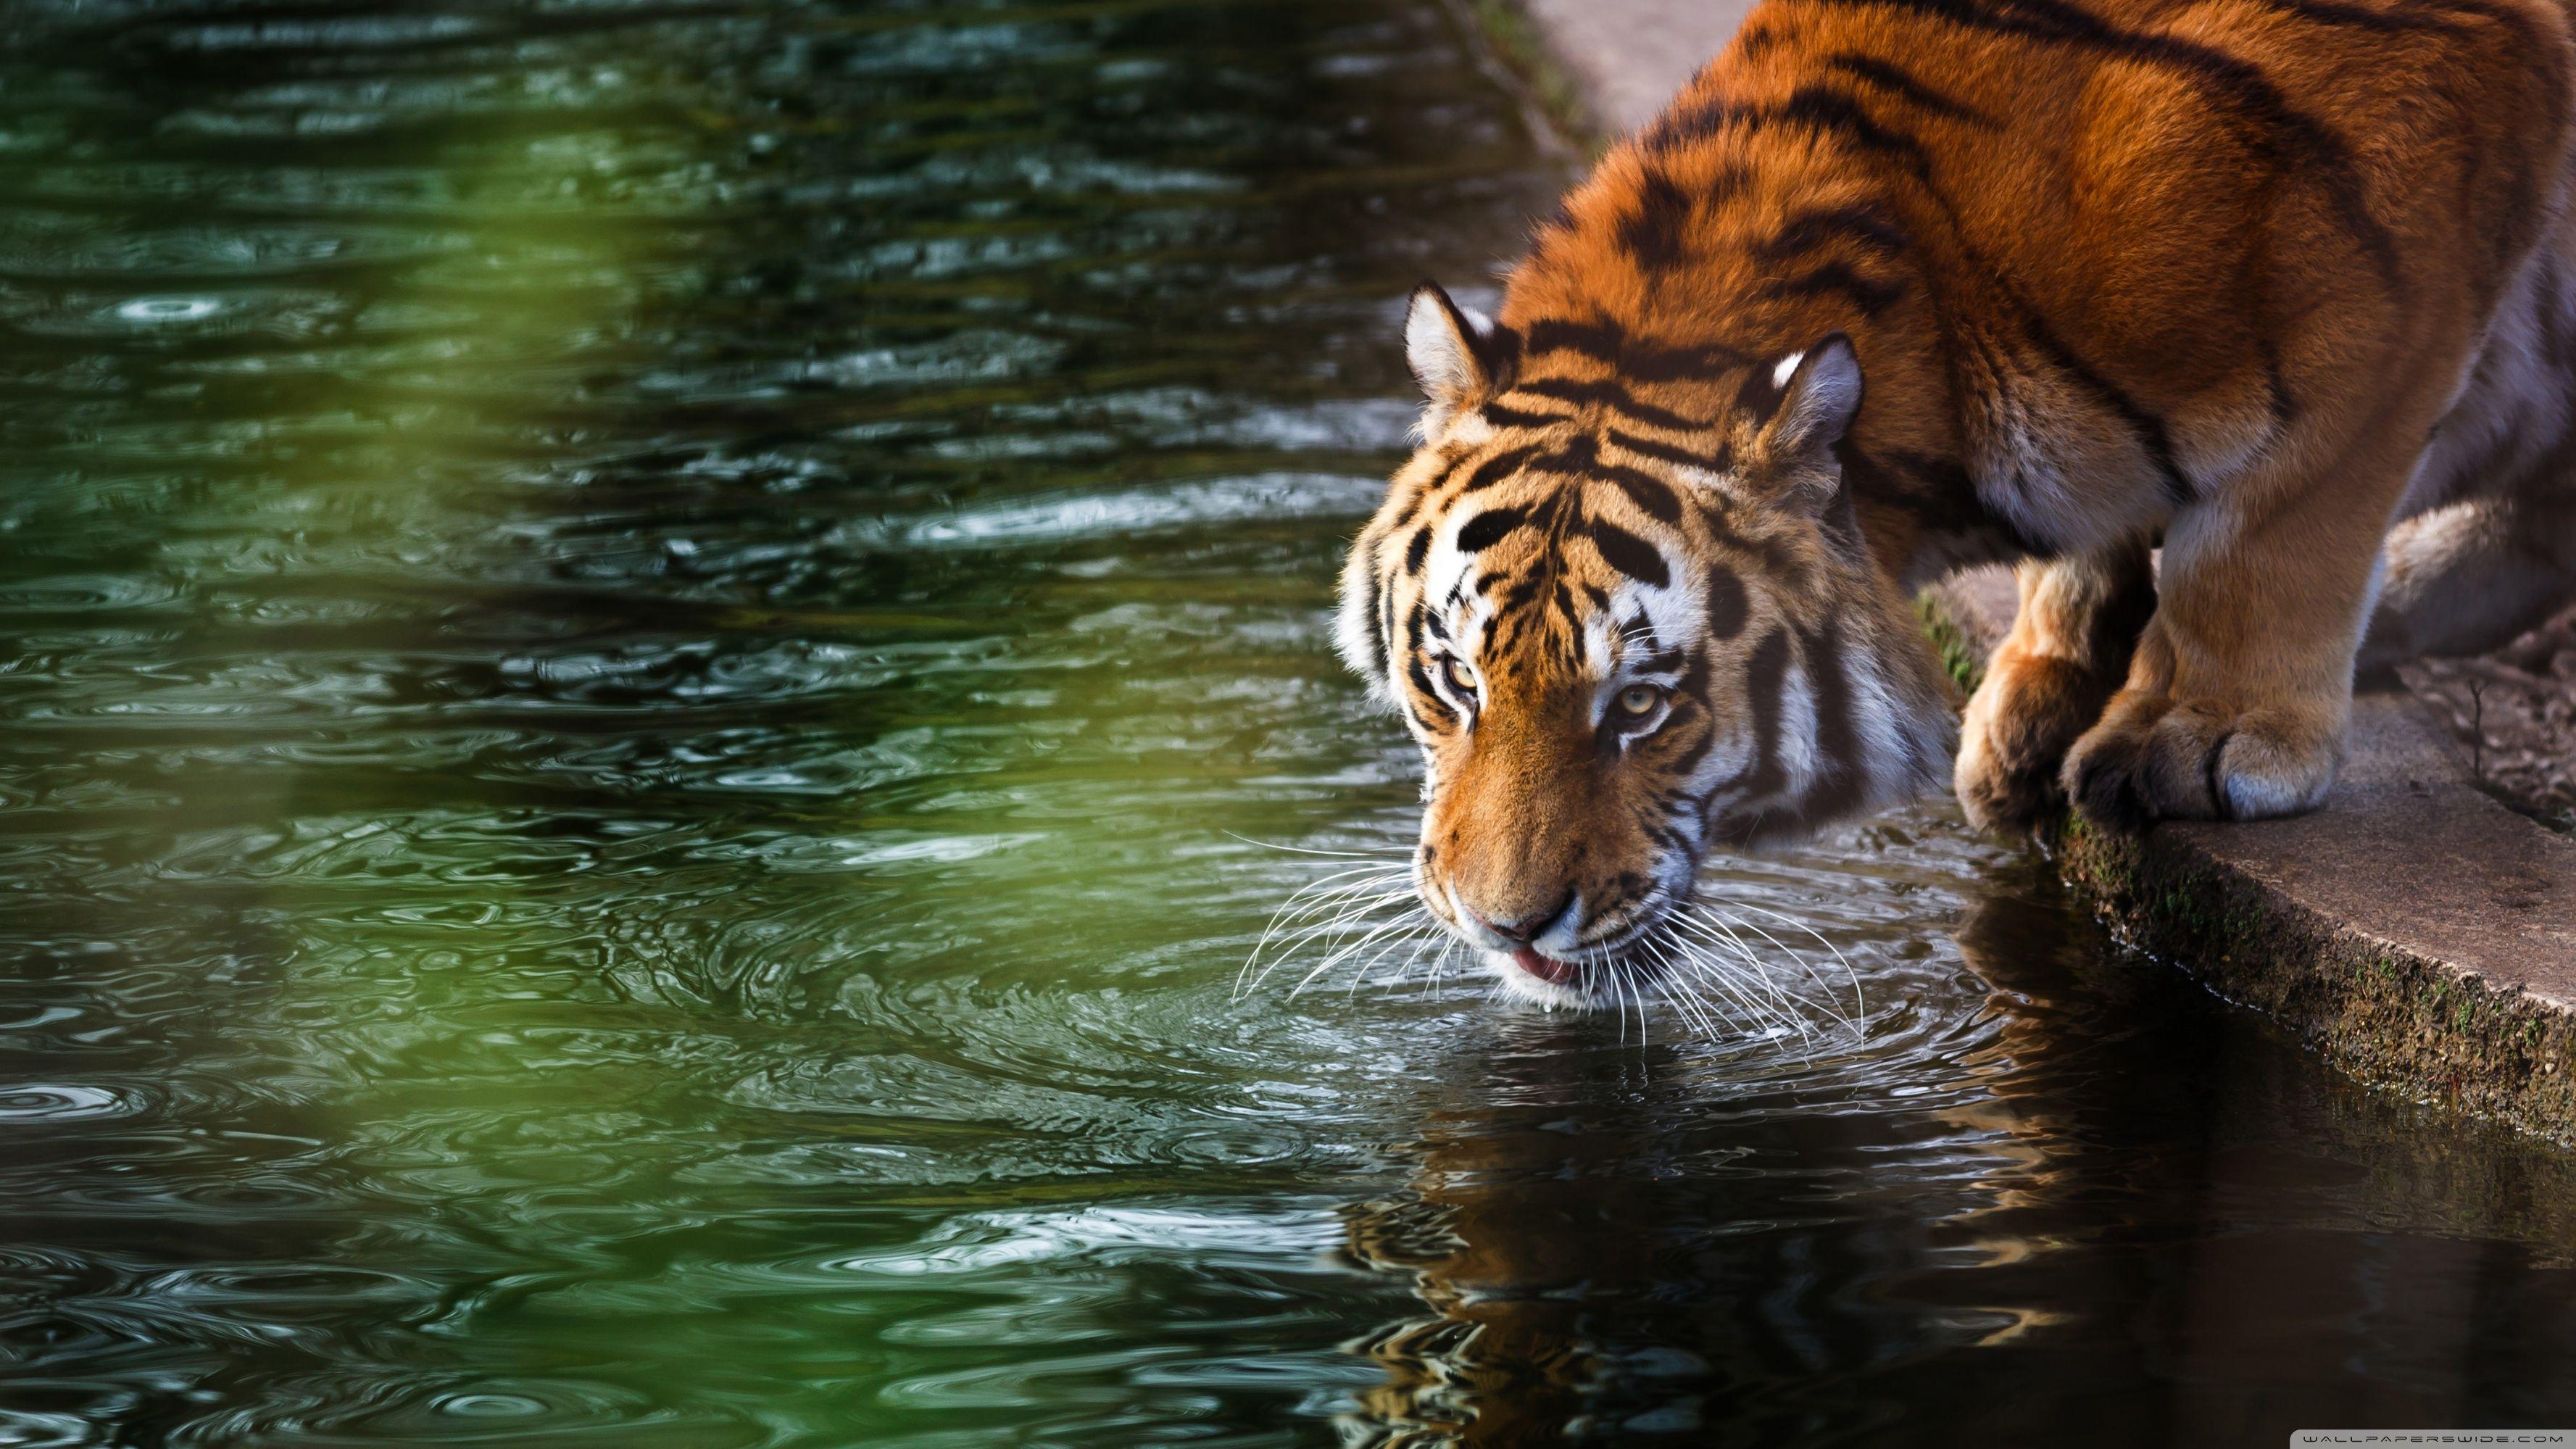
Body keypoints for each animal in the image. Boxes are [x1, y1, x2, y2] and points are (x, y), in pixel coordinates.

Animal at [1338, 0, 2576, 1005]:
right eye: (1455, 680)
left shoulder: (2398, 268)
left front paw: (2201, 730)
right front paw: (2036, 697)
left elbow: (2268, 533)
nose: (1503, 927)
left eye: (1642, 704)